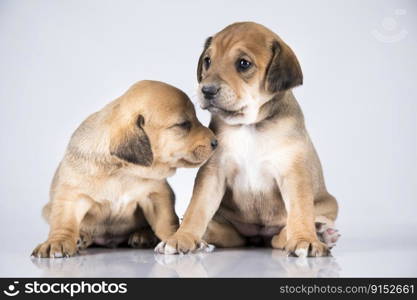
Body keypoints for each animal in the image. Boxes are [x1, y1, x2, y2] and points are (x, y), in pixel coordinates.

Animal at [30, 80, 216, 258]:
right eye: (183, 124)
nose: (216, 142)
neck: (123, 173)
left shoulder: (157, 194)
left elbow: (167, 221)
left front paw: (175, 238)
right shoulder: (71, 196)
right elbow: (64, 223)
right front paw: (58, 242)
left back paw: (143, 235)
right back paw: (82, 237)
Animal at [156, 22, 338, 258]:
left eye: (244, 64)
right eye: (208, 61)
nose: (207, 90)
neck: (250, 126)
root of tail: (257, 237)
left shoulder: (293, 172)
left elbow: (300, 210)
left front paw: (304, 240)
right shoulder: (213, 172)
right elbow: (197, 209)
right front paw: (181, 238)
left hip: (327, 205)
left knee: (281, 235)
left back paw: (321, 233)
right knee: (220, 232)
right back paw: (201, 241)